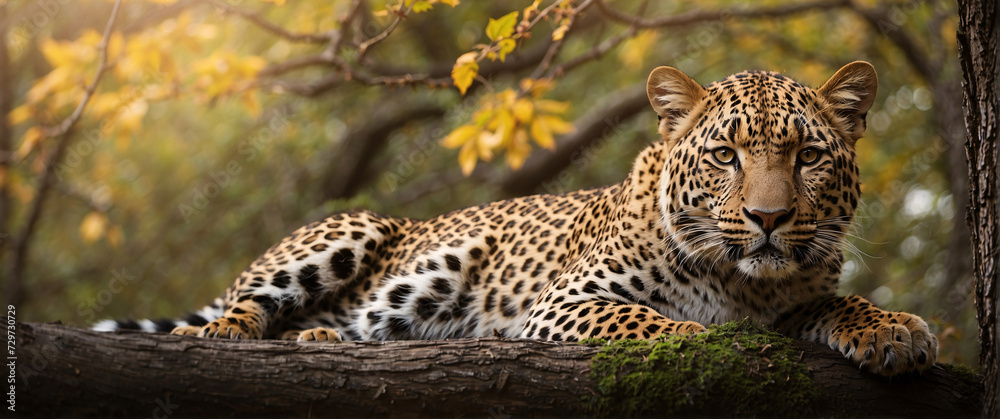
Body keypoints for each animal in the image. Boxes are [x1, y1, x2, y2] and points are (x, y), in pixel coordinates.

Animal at [94, 61, 938, 377]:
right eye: (727, 155)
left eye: (809, 156)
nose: (767, 217)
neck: (746, 282)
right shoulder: (570, 302)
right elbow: (665, 324)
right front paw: (708, 335)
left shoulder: (796, 290)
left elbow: (836, 299)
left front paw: (892, 326)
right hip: (352, 230)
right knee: (236, 310)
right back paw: (246, 334)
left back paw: (324, 337)